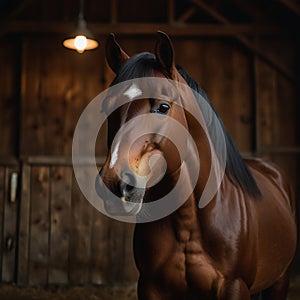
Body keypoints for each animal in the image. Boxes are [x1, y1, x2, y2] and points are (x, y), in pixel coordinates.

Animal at [98, 31, 298, 298]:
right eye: (106, 108)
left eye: (163, 107)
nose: (114, 184)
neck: (189, 223)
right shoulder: (150, 286)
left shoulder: (235, 286)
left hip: (280, 281)